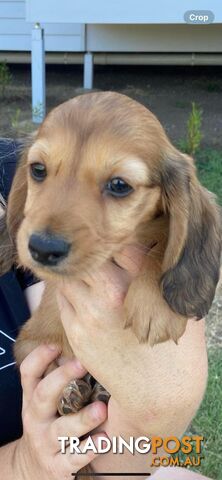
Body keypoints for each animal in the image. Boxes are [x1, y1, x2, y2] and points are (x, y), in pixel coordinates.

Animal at [0, 93, 222, 412]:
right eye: (38, 169)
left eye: (119, 185)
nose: (42, 248)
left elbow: (163, 245)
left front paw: (156, 305)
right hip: (29, 344)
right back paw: (72, 392)